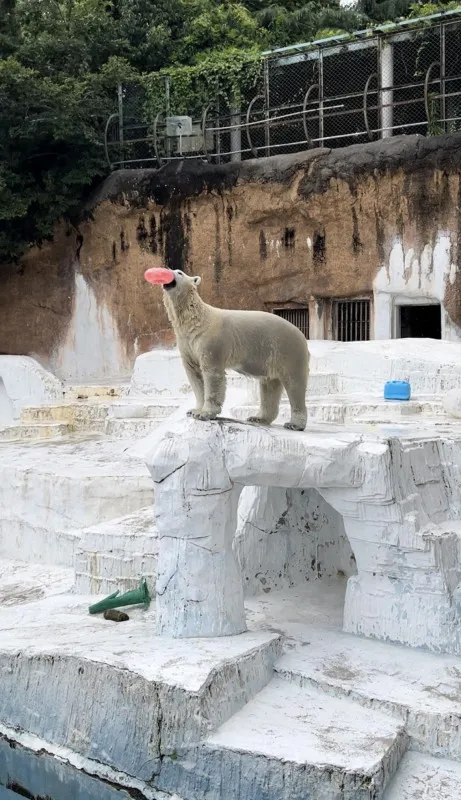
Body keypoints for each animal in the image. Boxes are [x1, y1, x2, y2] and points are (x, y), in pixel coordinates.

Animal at [144, 268, 310, 432]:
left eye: (179, 272)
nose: (166, 273)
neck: (195, 321)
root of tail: (301, 335)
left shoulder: (211, 340)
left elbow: (212, 374)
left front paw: (205, 413)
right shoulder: (187, 343)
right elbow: (194, 374)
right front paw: (194, 410)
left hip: (287, 349)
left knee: (294, 383)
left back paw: (294, 424)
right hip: (271, 355)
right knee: (269, 384)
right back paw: (258, 418)